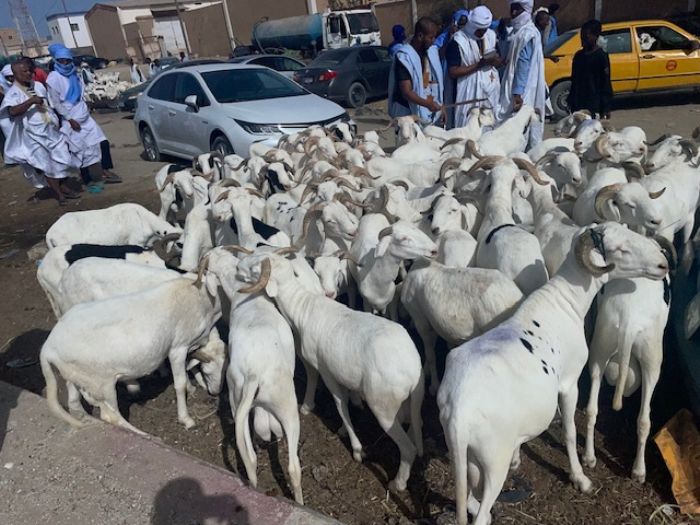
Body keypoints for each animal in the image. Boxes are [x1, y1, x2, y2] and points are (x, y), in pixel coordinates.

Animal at [40, 263, 225, 433]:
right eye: (208, 371)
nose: (216, 392)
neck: (199, 297)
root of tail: (48, 347)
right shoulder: (178, 348)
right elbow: (179, 383)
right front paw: (186, 419)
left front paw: (192, 387)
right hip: (102, 384)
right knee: (110, 415)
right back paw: (142, 433)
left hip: (76, 376)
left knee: (74, 402)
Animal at [236, 253, 424, 492]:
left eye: (255, 268)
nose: (237, 266)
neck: (303, 308)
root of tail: (412, 369)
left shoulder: (325, 370)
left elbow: (339, 404)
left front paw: (356, 449)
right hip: (409, 401)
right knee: (417, 425)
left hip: (384, 408)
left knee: (408, 448)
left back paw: (397, 484)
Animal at [438, 223, 673, 525]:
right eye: (620, 249)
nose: (662, 264)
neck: (565, 302)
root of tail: (459, 411)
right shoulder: (570, 383)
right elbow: (570, 432)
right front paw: (581, 478)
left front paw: (519, 458)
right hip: (492, 460)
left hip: (464, 454)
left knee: (467, 495)